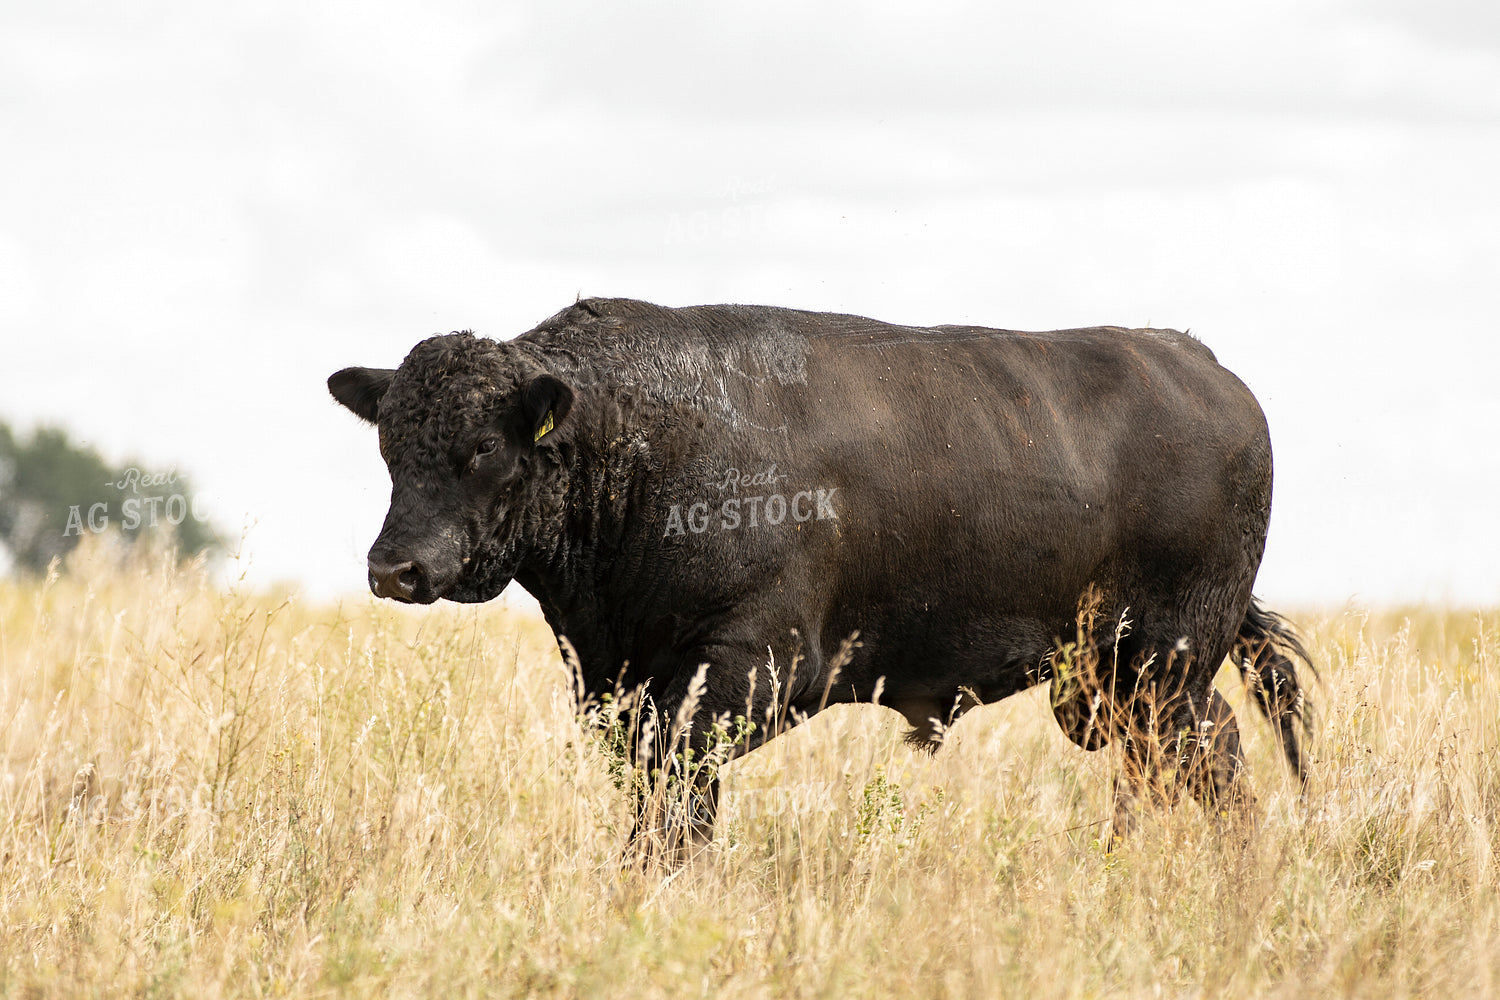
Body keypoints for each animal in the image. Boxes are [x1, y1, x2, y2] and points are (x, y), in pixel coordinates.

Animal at [328, 297, 1311, 859]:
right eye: (389, 444)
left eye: (483, 447)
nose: (395, 568)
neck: (630, 434)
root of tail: (1203, 365)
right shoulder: (622, 685)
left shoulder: (741, 673)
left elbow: (677, 798)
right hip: (1119, 684)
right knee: (1194, 758)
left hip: (1156, 667)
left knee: (1193, 760)